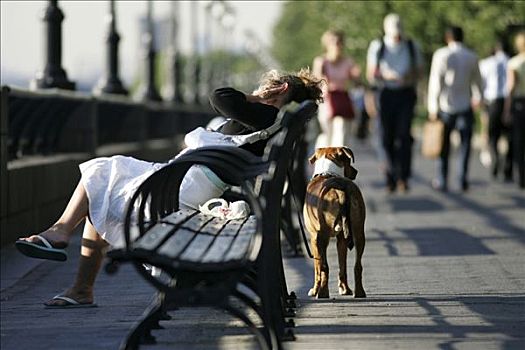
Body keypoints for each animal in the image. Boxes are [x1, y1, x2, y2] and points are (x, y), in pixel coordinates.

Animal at [302, 146, 364, 296]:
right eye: (348, 161)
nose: (356, 172)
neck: (328, 172)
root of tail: (340, 186)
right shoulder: (341, 239)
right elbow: (342, 265)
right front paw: (345, 289)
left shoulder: (313, 238)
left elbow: (317, 268)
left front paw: (314, 290)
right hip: (359, 231)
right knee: (357, 265)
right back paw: (359, 292)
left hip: (322, 237)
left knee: (324, 267)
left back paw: (322, 293)